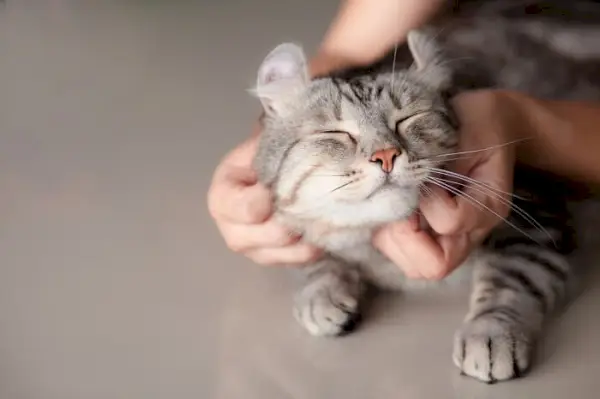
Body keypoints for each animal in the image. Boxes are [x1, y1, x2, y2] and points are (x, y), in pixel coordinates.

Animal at [250, 10, 600, 384]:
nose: (386, 155)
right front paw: (323, 291)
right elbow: (316, 258)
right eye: (337, 133)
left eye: (408, 119)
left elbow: (509, 281)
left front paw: (489, 333)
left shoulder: (536, 216)